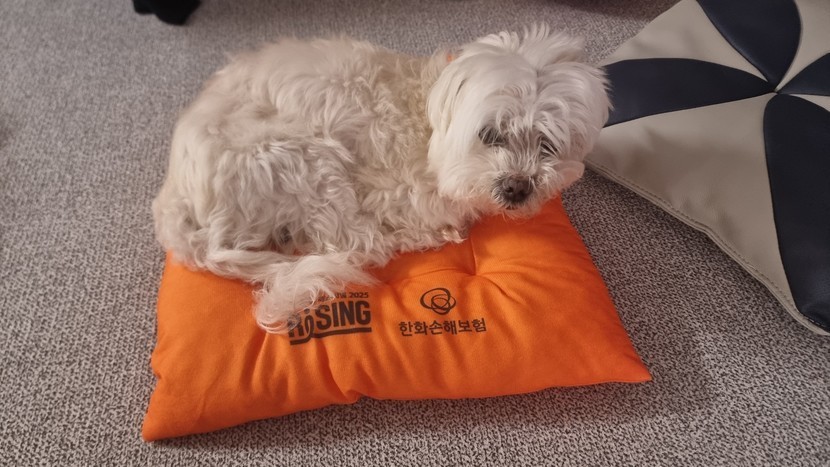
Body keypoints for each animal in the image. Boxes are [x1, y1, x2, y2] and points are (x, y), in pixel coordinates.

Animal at [152, 25, 610, 333]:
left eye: (548, 143)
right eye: (490, 134)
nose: (517, 187)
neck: (428, 120)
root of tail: (178, 207)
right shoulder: (393, 191)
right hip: (305, 159)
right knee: (358, 244)